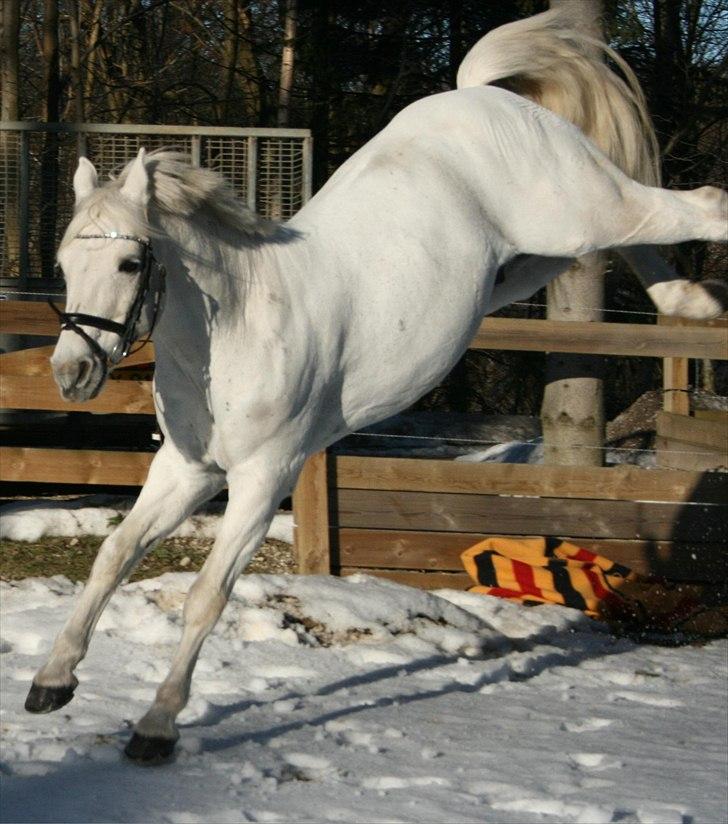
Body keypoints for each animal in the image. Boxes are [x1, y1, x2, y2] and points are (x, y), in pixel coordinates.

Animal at [25, 9, 724, 764]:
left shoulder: (264, 478)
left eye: (129, 264)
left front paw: (156, 727)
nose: (72, 374)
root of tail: (484, 96)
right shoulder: (187, 470)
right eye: (64, 262)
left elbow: (207, 595)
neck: (236, 328)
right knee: (648, 235)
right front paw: (52, 682)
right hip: (535, 258)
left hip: (576, 213)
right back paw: (690, 301)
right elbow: (113, 555)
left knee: (700, 206)